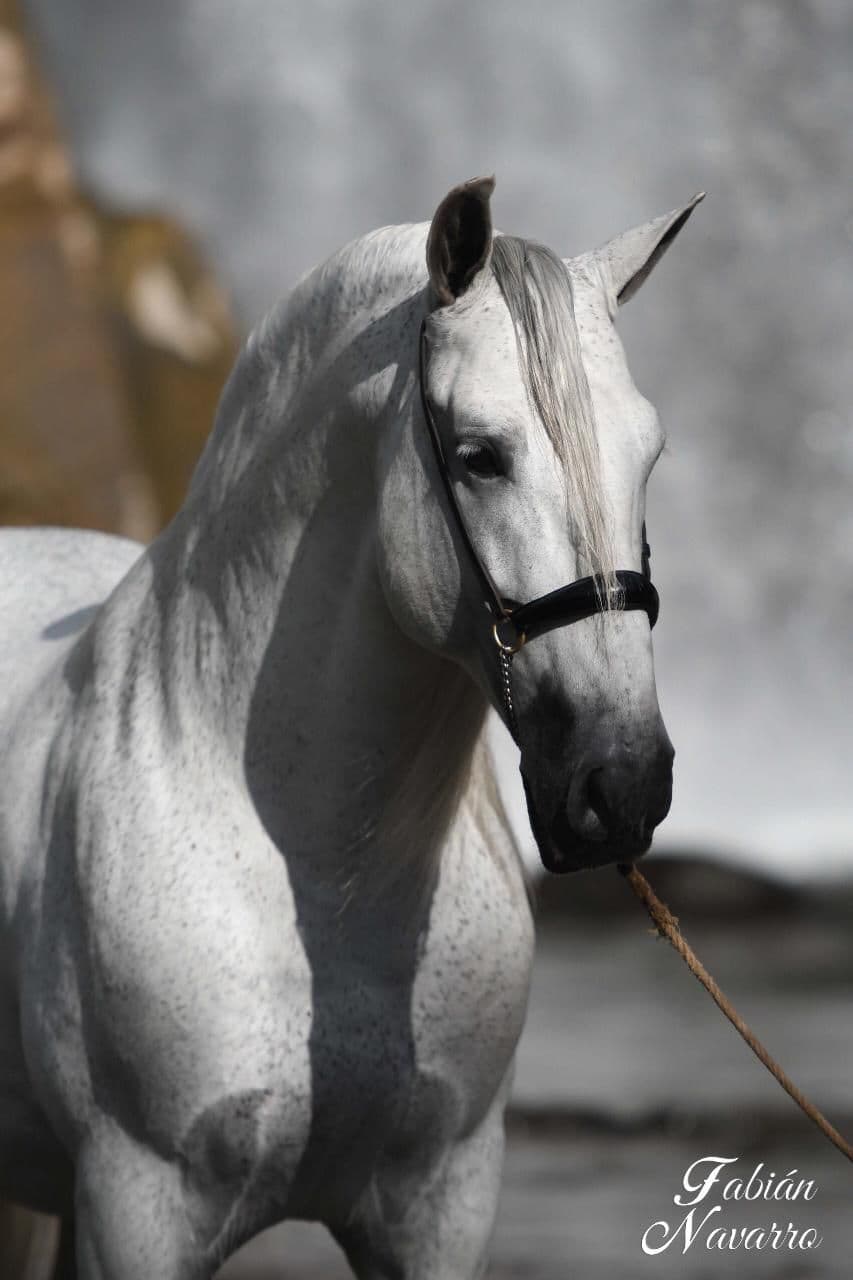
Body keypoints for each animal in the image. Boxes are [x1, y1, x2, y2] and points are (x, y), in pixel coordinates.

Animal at [0, 175, 700, 1279]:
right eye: (479, 456)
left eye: (650, 453)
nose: (620, 782)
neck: (326, 877)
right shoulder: (137, 1203)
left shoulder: (442, 1204)